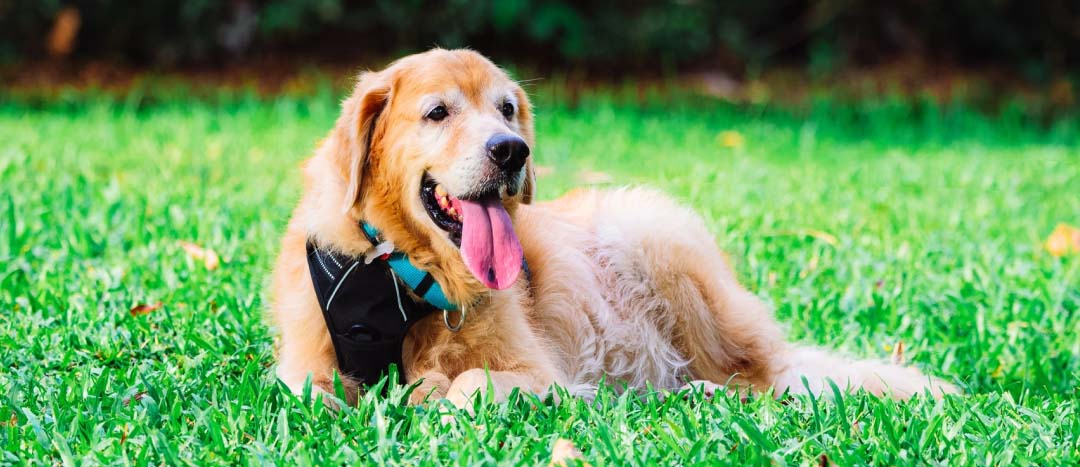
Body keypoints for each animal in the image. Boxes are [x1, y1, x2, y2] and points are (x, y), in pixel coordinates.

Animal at [267, 46, 954, 404]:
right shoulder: (303, 367)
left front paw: (433, 392)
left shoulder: (539, 372)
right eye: (438, 112)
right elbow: (315, 394)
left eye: (507, 109)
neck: (402, 277)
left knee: (760, 378)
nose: (512, 150)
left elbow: (468, 384)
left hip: (658, 243)